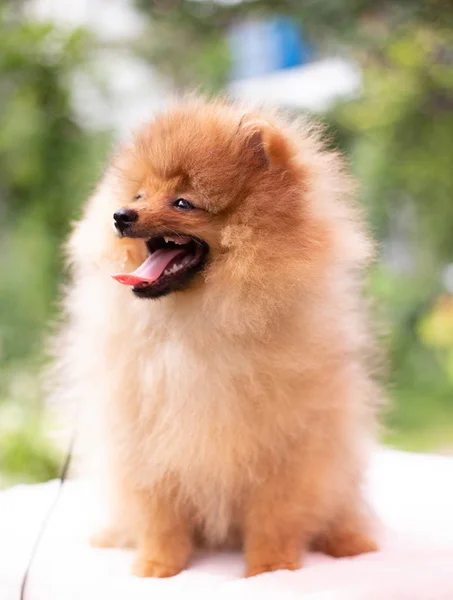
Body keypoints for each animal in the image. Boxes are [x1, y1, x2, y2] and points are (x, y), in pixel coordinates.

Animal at [54, 97, 380, 576]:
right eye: (138, 195)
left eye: (183, 202)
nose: (121, 215)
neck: (197, 320)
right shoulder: (142, 439)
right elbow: (158, 513)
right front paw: (156, 566)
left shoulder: (289, 447)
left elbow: (275, 516)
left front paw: (270, 570)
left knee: (340, 508)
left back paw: (349, 542)